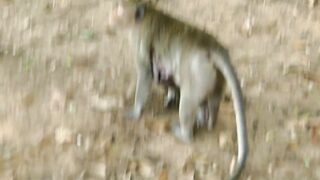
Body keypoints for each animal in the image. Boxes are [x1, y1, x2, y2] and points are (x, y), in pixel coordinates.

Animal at [109, 1, 249, 179]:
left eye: (119, 10)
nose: (111, 15)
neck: (143, 17)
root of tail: (210, 45)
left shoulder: (139, 41)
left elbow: (147, 73)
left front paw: (135, 110)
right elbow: (163, 73)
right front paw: (170, 95)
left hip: (197, 73)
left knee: (187, 101)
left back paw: (184, 134)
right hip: (215, 76)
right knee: (210, 99)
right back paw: (208, 120)